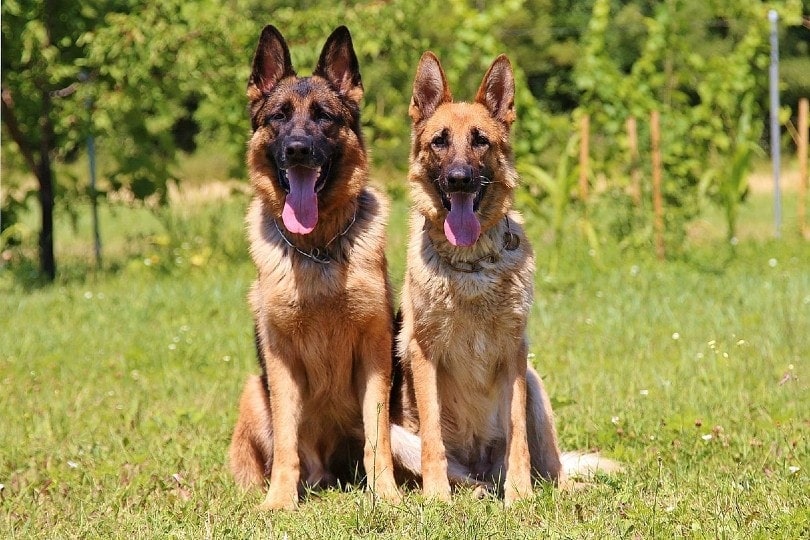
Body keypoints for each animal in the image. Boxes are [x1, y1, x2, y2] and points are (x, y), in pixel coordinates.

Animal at [229, 24, 400, 510]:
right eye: (279, 117)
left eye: (324, 116)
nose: (298, 150)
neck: (318, 249)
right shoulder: (280, 363)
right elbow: (287, 440)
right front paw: (279, 501)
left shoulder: (375, 354)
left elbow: (378, 438)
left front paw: (388, 496)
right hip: (253, 390)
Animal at [392, 52, 620, 504]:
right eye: (439, 141)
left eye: (480, 140)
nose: (460, 179)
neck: (471, 263)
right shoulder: (424, 355)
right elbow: (432, 437)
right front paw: (436, 497)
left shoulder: (514, 355)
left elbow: (518, 437)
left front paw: (521, 496)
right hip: (396, 436)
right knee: (460, 471)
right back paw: (471, 490)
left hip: (534, 383)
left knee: (552, 468)